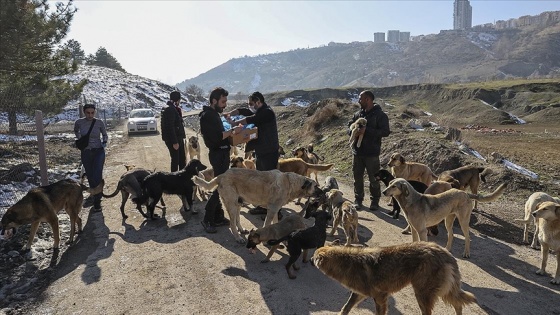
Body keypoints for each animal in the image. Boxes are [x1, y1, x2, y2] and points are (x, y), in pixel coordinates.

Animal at [192, 168, 324, 244]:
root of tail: (221, 175)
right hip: (232, 205)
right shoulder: (271, 210)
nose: (324, 193)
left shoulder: (275, 210)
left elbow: (276, 223)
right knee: (232, 223)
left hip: (238, 203)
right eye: (316, 186)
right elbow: (267, 224)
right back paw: (237, 237)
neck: (290, 183)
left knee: (237, 219)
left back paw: (241, 230)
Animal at [310, 243, 476, 314]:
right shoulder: (359, 294)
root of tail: (445, 252)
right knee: (458, 304)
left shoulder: (380, 298)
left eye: (314, 256)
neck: (348, 262)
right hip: (441, 292)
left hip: (422, 294)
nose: (310, 260)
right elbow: (345, 308)